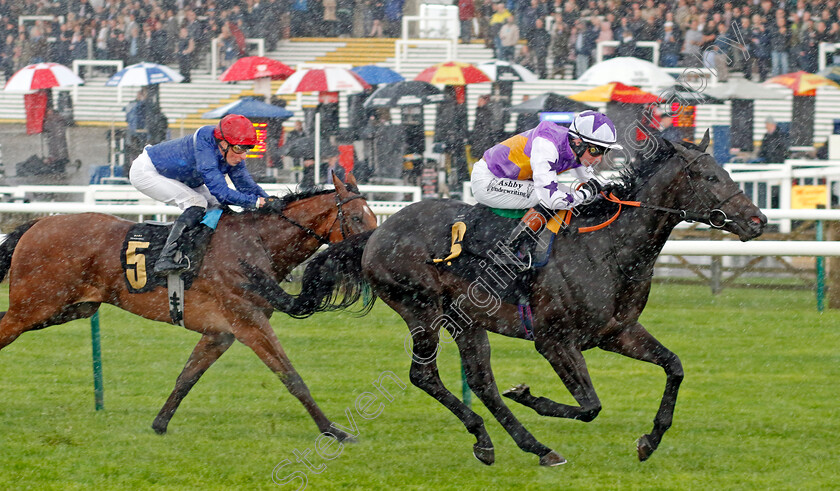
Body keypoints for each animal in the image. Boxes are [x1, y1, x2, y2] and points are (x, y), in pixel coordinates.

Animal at [0, 175, 376, 440]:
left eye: (373, 217)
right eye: (357, 217)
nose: (374, 250)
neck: (256, 244)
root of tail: (35, 224)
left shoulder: (220, 333)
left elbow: (187, 377)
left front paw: (159, 424)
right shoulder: (249, 323)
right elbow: (292, 377)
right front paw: (334, 431)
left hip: (70, 309)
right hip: (34, 307)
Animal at [249, 135, 768, 466]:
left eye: (726, 172)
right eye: (708, 175)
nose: (757, 220)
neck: (609, 248)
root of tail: (377, 232)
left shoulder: (616, 332)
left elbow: (674, 367)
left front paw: (650, 440)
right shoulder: (554, 340)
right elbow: (589, 405)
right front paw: (531, 395)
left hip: (467, 323)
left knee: (480, 383)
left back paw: (523, 445)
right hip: (422, 310)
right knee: (426, 376)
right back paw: (497, 440)